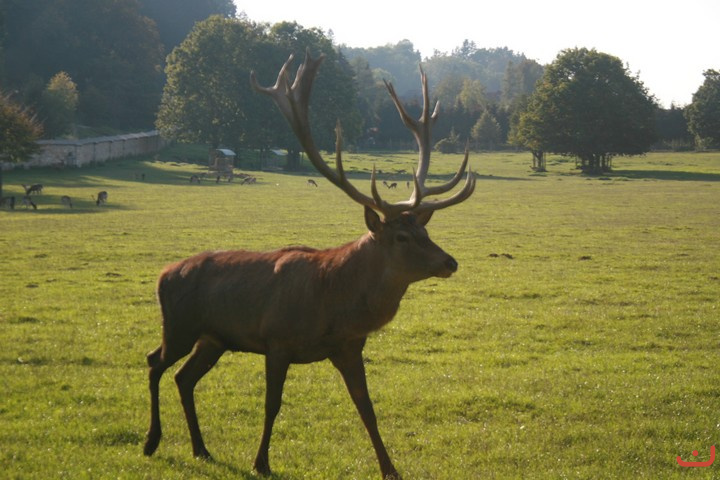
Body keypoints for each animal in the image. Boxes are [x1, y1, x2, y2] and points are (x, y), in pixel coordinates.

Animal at [143, 51, 475, 480]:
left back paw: (201, 449)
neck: (334, 304)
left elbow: (367, 408)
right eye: (402, 237)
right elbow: (272, 404)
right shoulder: (277, 340)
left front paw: (390, 468)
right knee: (155, 363)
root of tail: (163, 274)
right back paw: (152, 442)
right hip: (180, 326)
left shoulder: (349, 347)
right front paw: (261, 462)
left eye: (424, 229)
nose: (449, 261)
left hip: (213, 338)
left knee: (184, 378)